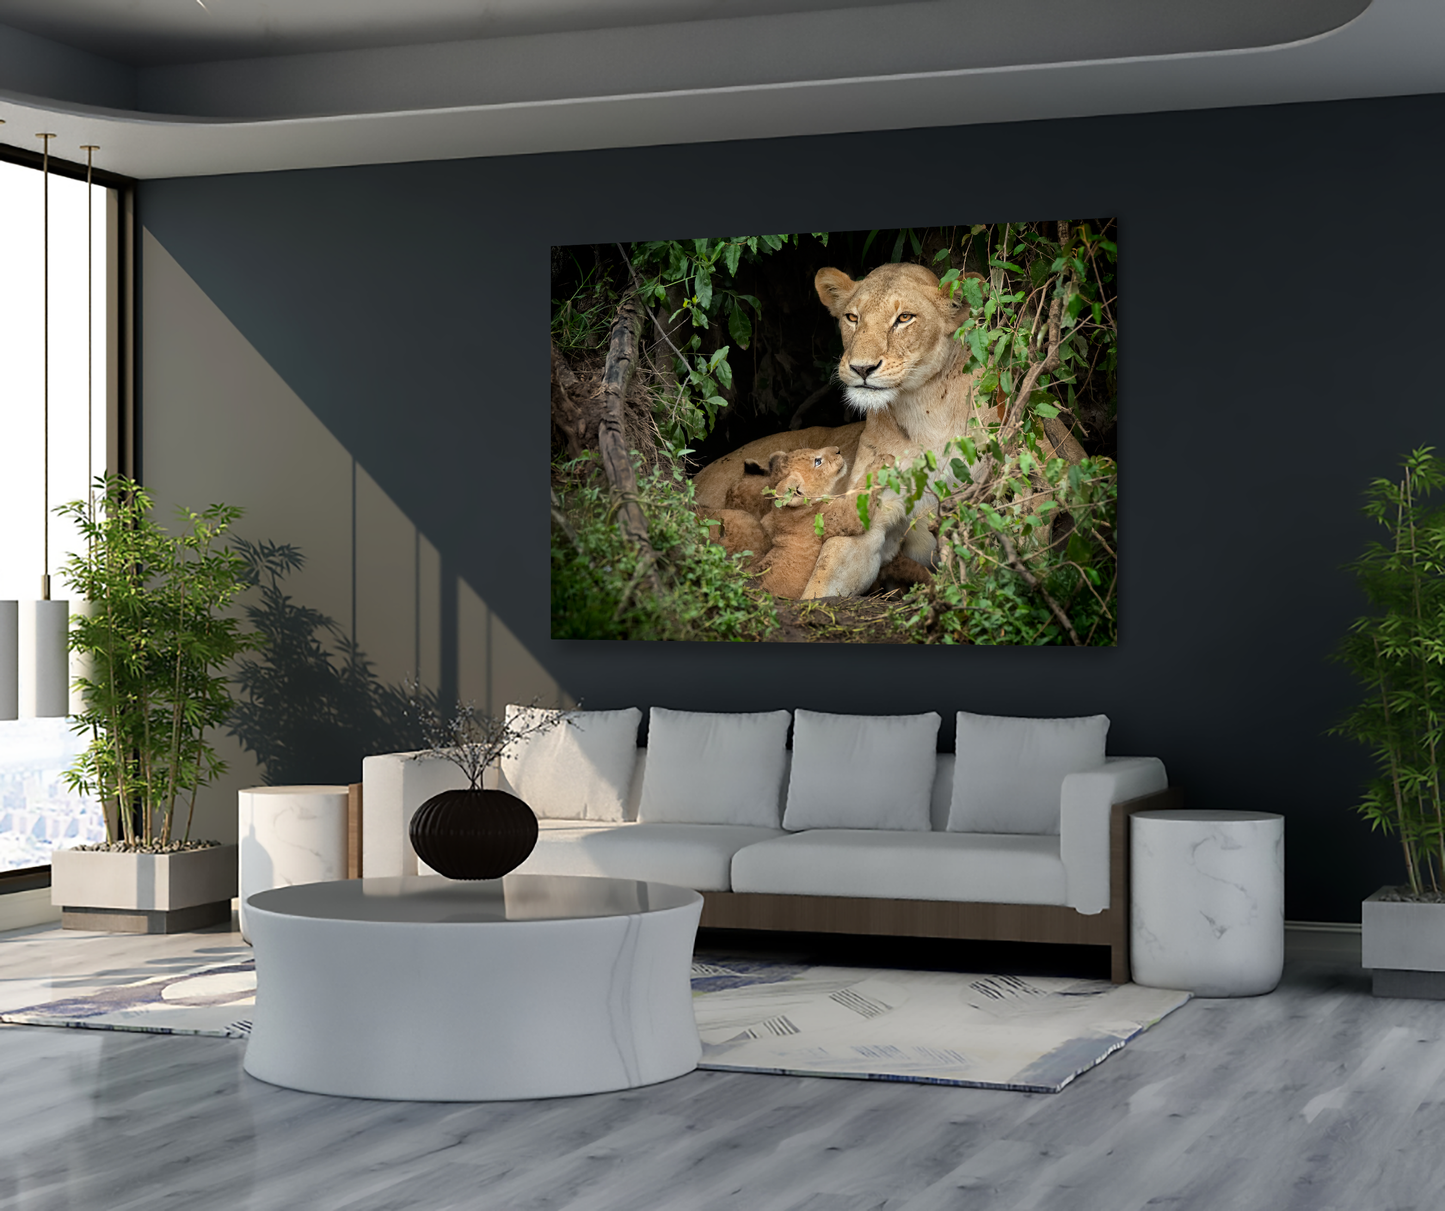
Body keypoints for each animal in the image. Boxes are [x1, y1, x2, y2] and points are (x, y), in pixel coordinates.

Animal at [692, 262, 994, 598]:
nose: (862, 368)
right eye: (852, 317)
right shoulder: (865, 521)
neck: (924, 416)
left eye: (904, 318)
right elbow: (822, 579)